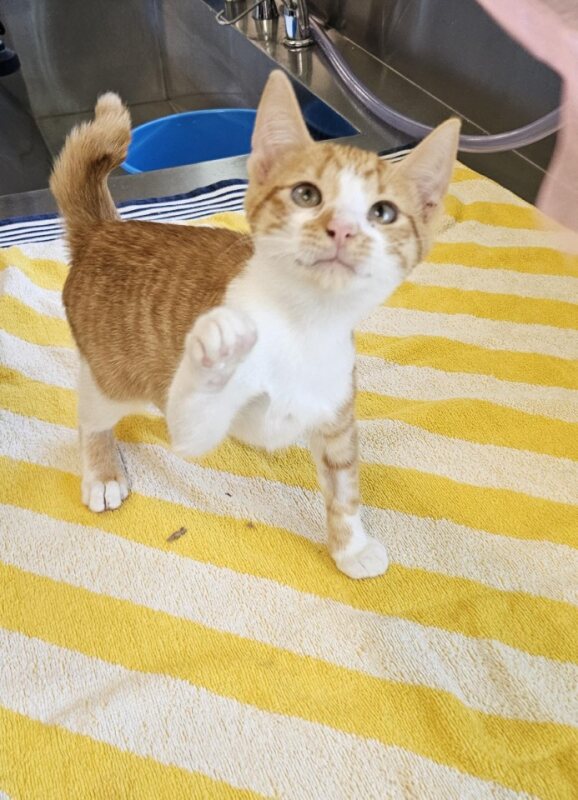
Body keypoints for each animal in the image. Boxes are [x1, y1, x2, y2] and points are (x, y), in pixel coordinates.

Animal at [50, 70, 460, 579]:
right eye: (307, 194)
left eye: (382, 212)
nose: (343, 229)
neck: (302, 325)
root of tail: (104, 230)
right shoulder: (194, 429)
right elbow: (194, 413)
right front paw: (218, 347)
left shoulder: (336, 415)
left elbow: (344, 487)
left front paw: (350, 548)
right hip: (111, 373)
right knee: (91, 414)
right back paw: (102, 471)